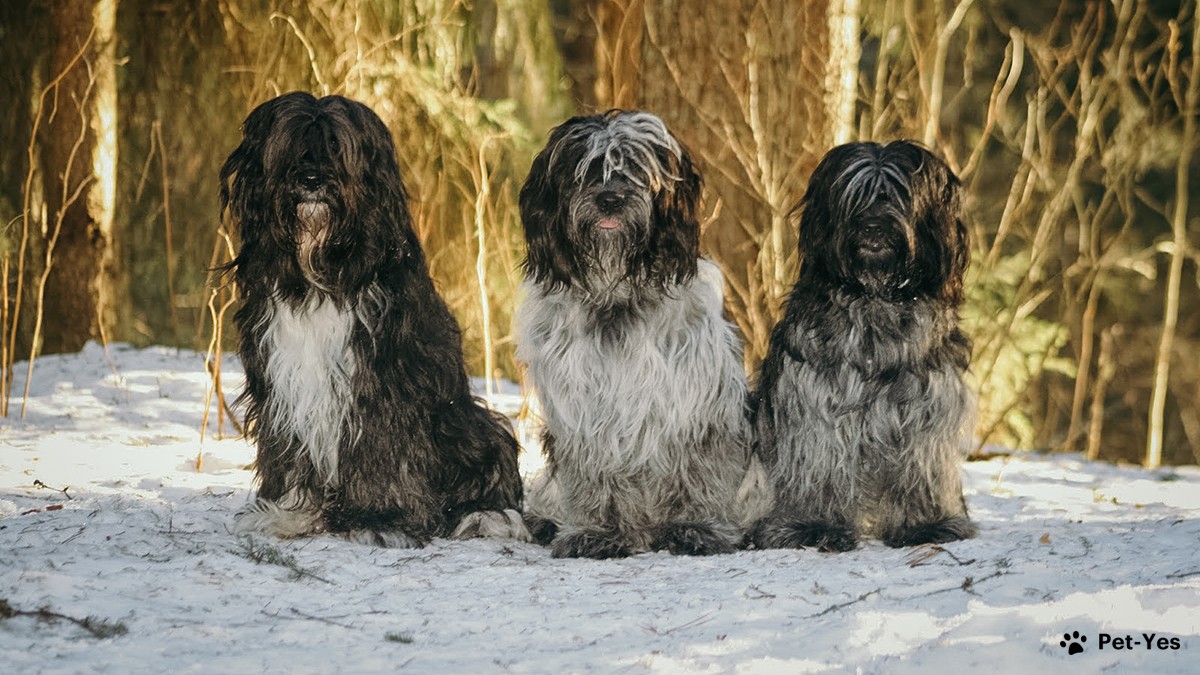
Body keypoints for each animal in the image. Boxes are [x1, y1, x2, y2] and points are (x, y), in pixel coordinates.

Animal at [219, 91, 525, 547]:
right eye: (292, 145)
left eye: (336, 148)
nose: (311, 180)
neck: (322, 272)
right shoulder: (281, 377)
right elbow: (290, 449)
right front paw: (290, 513)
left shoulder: (382, 381)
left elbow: (384, 452)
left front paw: (381, 518)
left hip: (471, 422)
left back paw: (487, 515)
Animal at [516, 110, 768, 557]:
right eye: (584, 170)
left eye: (635, 169)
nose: (610, 199)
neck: (616, 292)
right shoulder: (584, 407)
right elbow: (595, 474)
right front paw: (597, 531)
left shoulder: (695, 401)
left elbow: (697, 469)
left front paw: (695, 526)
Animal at [753, 139, 979, 550]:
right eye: (854, 195)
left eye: (899, 195)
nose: (873, 225)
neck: (876, 299)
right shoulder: (816, 399)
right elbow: (820, 462)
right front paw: (811, 525)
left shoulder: (925, 407)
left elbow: (919, 466)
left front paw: (925, 523)